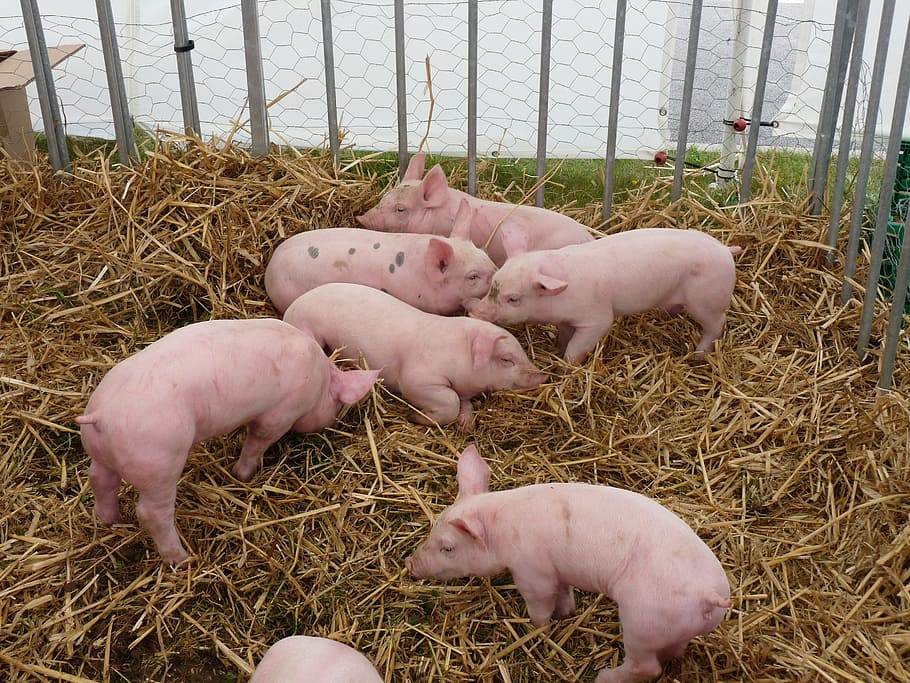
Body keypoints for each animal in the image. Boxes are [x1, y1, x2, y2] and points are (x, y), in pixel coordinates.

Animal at [77, 318, 379, 566]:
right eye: (337, 404)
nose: (332, 422)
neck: (320, 379)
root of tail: (101, 415)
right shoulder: (280, 414)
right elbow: (257, 440)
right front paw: (243, 476)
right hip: (158, 462)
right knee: (151, 513)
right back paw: (183, 559)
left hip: (102, 453)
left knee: (100, 480)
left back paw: (110, 521)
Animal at [282, 282, 547, 431]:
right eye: (506, 359)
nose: (542, 376)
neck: (459, 353)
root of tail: (291, 309)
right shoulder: (417, 380)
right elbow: (450, 400)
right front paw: (415, 416)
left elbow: (464, 403)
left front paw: (466, 426)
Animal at [405, 446, 731, 683]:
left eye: (447, 547)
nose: (410, 563)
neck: (503, 531)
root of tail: (711, 596)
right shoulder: (556, 570)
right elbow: (564, 594)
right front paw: (566, 614)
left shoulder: (532, 570)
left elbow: (539, 603)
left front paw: (537, 630)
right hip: (672, 627)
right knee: (673, 652)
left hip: (643, 620)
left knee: (646, 667)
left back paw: (602, 676)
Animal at [465, 228, 741, 364]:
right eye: (493, 286)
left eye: (513, 299)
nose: (475, 311)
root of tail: (725, 249)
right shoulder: (567, 320)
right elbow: (564, 338)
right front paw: (558, 350)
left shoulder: (596, 318)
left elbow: (577, 347)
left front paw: (567, 365)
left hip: (708, 300)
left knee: (717, 323)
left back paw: (698, 356)